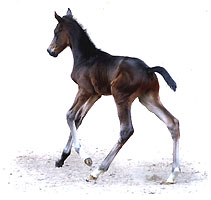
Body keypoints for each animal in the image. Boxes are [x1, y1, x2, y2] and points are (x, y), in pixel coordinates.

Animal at [47, 9, 180, 184]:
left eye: (56, 32)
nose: (50, 51)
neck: (86, 58)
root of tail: (148, 69)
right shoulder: (96, 94)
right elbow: (78, 118)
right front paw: (61, 158)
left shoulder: (84, 90)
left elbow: (70, 115)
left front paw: (84, 156)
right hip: (148, 99)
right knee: (172, 123)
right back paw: (173, 174)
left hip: (121, 96)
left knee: (126, 130)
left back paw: (97, 171)